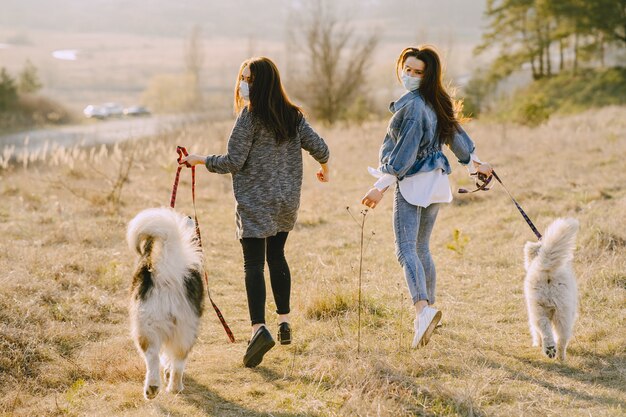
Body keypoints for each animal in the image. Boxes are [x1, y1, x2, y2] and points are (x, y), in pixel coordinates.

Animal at [125, 206, 204, 398]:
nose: (190, 216)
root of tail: (167, 276)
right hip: (183, 328)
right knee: (175, 360)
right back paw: (170, 387)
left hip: (147, 324)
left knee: (154, 356)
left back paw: (156, 387)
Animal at [520, 218, 576, 360]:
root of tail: (547, 269)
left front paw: (536, 343)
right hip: (562, 312)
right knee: (560, 338)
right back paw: (559, 356)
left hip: (538, 308)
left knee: (544, 328)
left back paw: (551, 350)